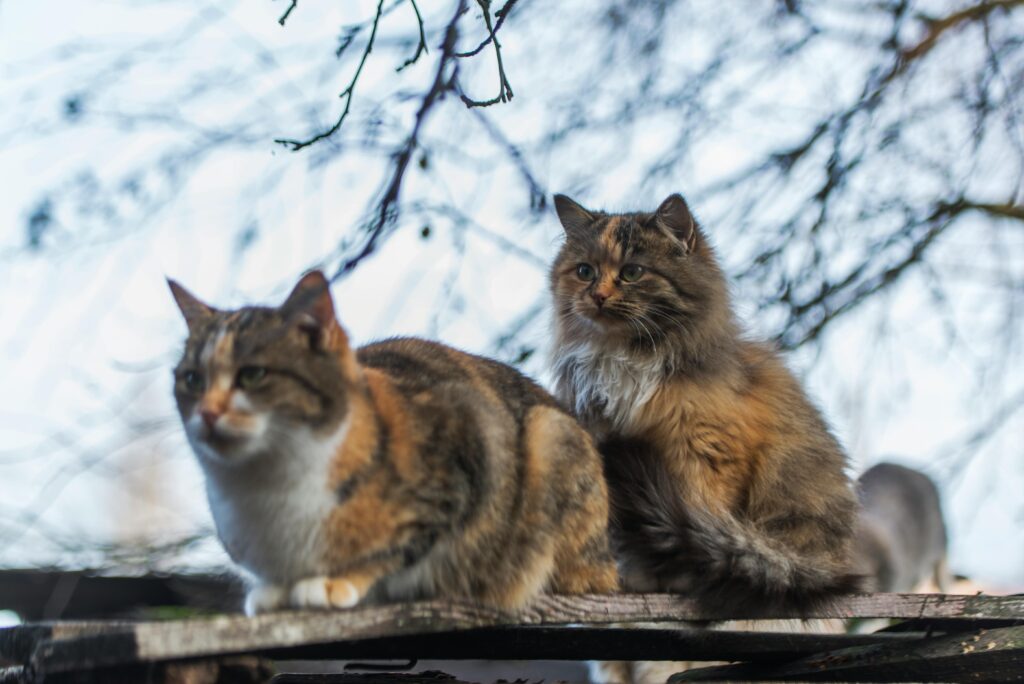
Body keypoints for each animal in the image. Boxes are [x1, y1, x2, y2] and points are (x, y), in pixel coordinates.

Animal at [169, 268, 614, 614]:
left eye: (252, 374)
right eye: (192, 379)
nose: (207, 413)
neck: (266, 485)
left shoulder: (471, 446)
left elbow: (399, 545)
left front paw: (335, 581)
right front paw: (275, 591)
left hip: (550, 435)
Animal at [548, 193, 860, 614]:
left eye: (632, 273)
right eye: (584, 271)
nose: (597, 296)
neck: (624, 356)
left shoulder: (704, 450)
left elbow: (694, 523)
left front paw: (685, 577)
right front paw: (636, 582)